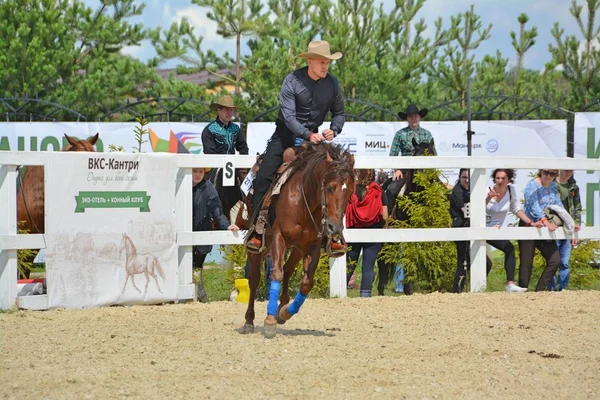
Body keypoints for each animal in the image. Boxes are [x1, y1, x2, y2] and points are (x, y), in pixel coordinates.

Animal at [240, 144, 354, 338]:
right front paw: (270, 321)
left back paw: (282, 307)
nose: (335, 228)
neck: (303, 198)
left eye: (350, 191)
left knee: (287, 269)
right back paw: (249, 321)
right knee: (254, 278)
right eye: (330, 188)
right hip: (261, 245)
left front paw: (284, 313)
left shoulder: (312, 245)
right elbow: (276, 273)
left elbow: (307, 283)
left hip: (297, 248)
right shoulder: (279, 237)